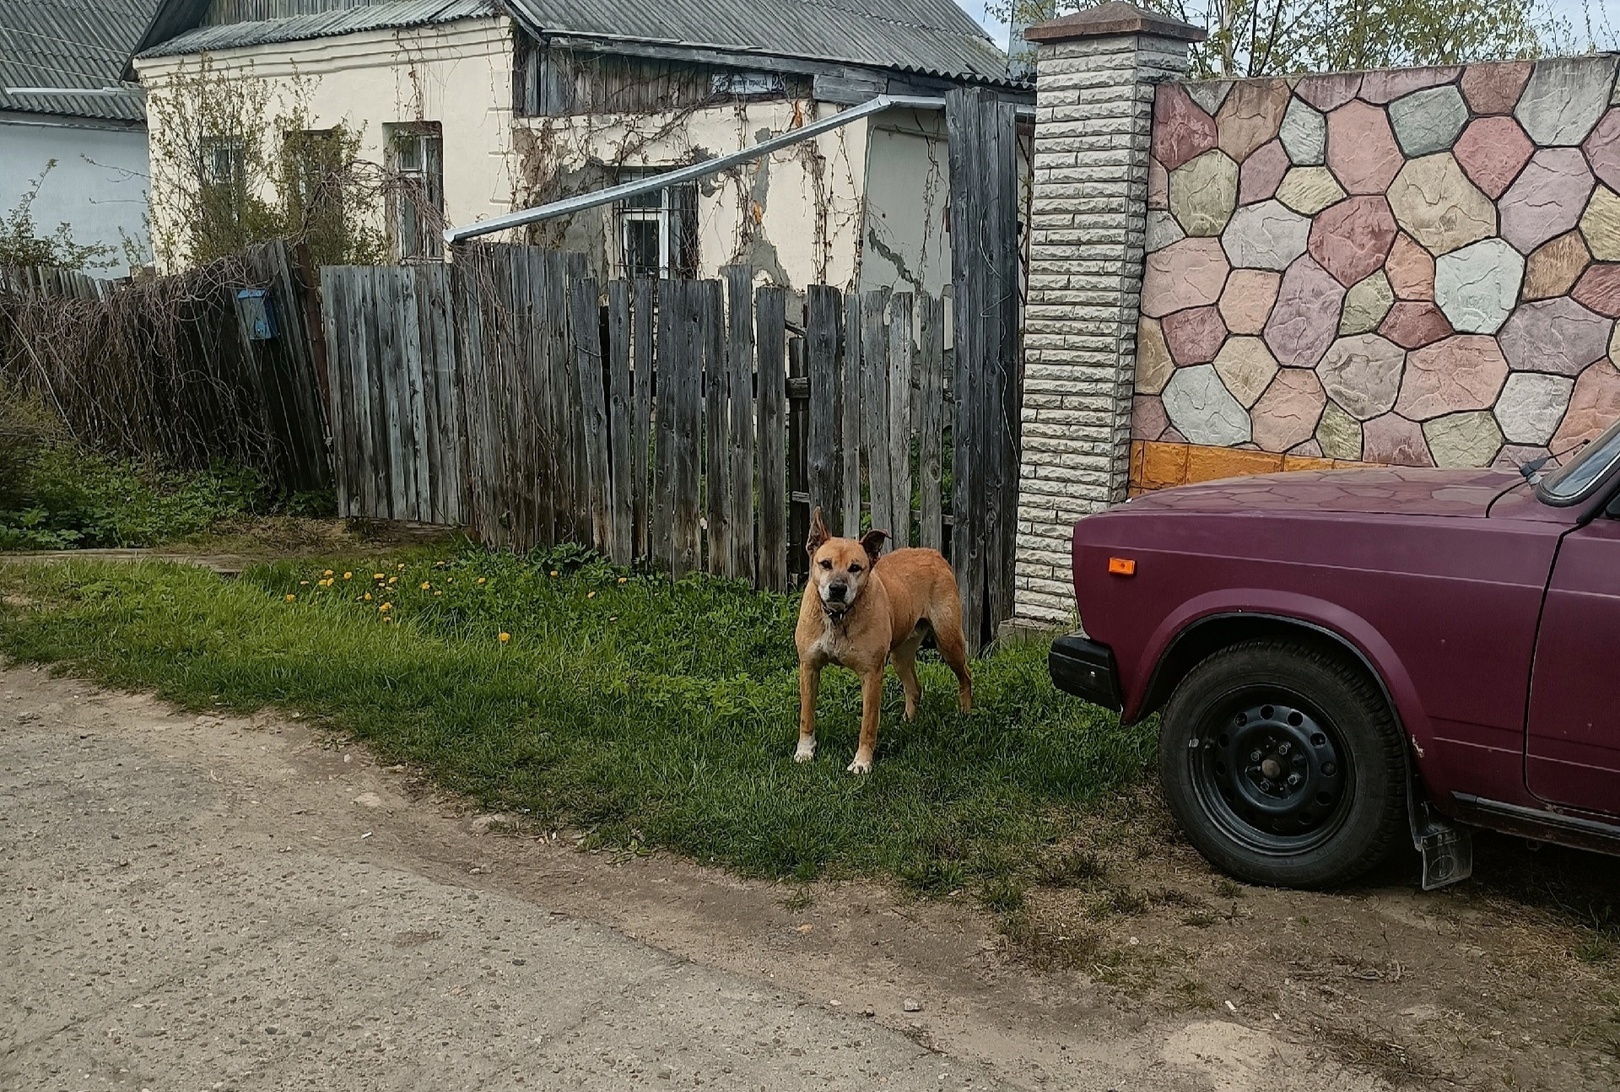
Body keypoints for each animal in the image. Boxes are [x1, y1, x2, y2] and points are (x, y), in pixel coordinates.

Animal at [790, 505, 965, 771]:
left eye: (855, 567)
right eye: (825, 564)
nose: (837, 589)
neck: (839, 617)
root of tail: (934, 553)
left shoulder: (871, 674)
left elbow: (868, 723)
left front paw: (862, 762)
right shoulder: (808, 666)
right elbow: (806, 715)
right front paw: (805, 751)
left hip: (949, 641)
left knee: (966, 677)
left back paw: (967, 715)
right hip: (900, 654)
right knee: (914, 688)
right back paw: (907, 723)